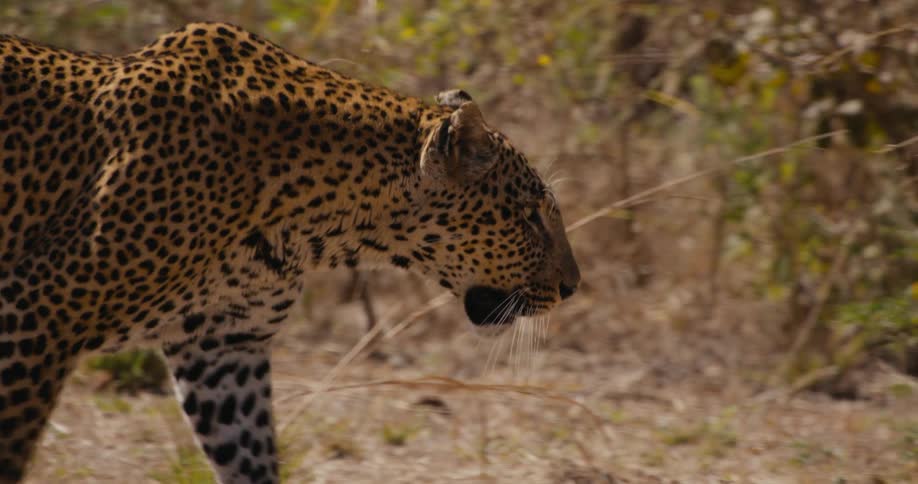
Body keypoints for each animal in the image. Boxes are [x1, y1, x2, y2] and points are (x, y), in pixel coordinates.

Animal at [0, 22, 580, 483]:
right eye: (531, 217)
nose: (572, 286)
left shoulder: (224, 347)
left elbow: (250, 455)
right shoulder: (37, 316)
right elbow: (13, 444)